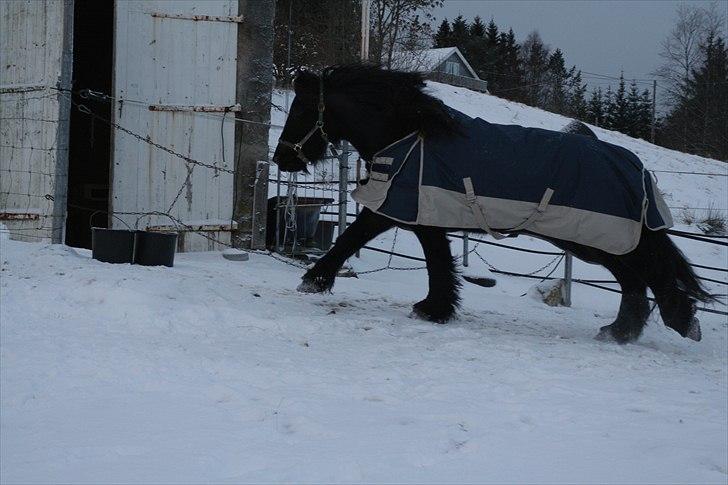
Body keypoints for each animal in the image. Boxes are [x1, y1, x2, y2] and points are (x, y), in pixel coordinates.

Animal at [272, 64, 712, 342]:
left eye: (300, 109)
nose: (281, 158)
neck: (410, 136)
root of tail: (634, 166)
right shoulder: (418, 215)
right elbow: (429, 259)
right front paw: (436, 307)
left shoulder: (401, 211)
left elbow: (358, 239)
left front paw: (314, 280)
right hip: (595, 240)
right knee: (634, 279)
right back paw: (621, 332)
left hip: (595, 238)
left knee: (646, 272)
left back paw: (679, 322)